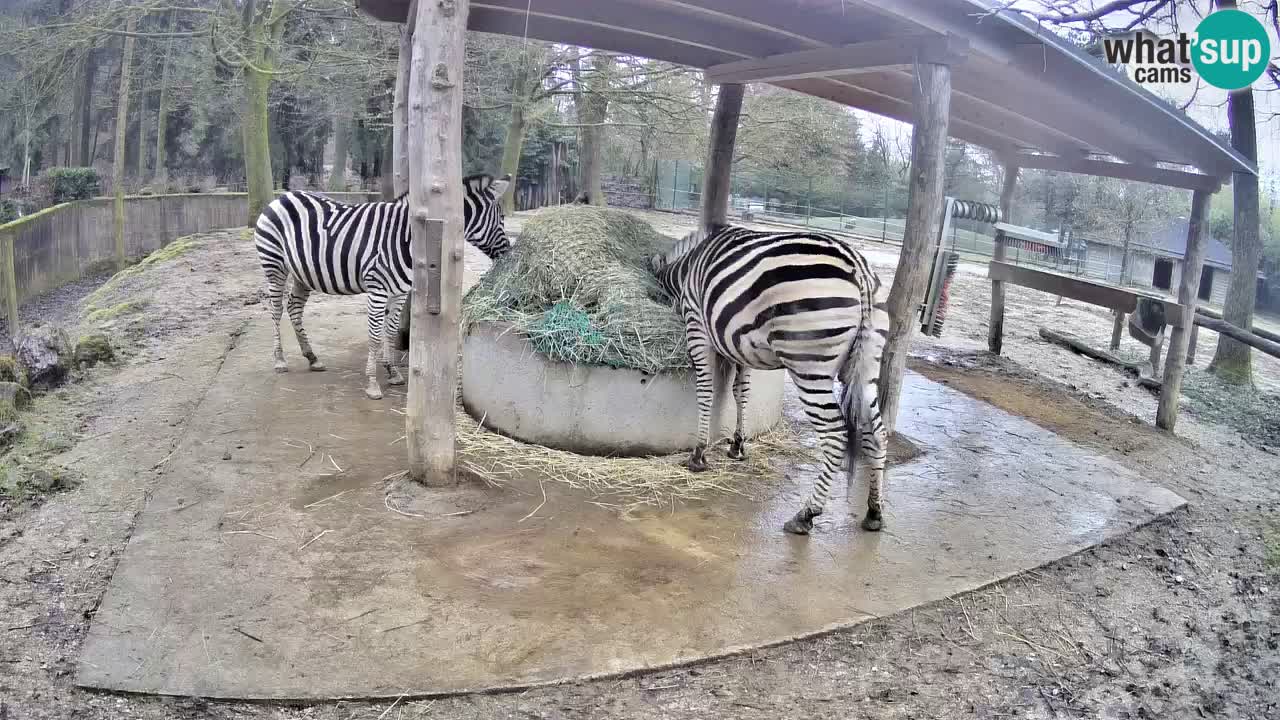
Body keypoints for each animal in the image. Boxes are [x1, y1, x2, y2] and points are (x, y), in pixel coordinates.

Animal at [253, 174, 512, 400]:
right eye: (501, 218)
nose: (508, 253)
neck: (407, 237)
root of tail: (283, 196)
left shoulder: (399, 291)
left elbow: (390, 330)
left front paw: (392, 371)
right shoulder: (378, 288)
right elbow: (375, 334)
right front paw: (372, 384)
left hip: (303, 273)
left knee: (294, 308)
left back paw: (312, 357)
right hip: (274, 264)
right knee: (276, 309)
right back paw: (279, 360)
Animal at [650, 225, 890, 535]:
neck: (686, 270)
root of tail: (859, 268)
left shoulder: (697, 327)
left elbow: (706, 390)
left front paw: (698, 455)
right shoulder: (738, 343)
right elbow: (741, 392)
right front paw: (737, 446)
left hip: (808, 364)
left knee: (835, 435)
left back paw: (806, 514)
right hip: (868, 365)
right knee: (877, 432)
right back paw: (874, 511)